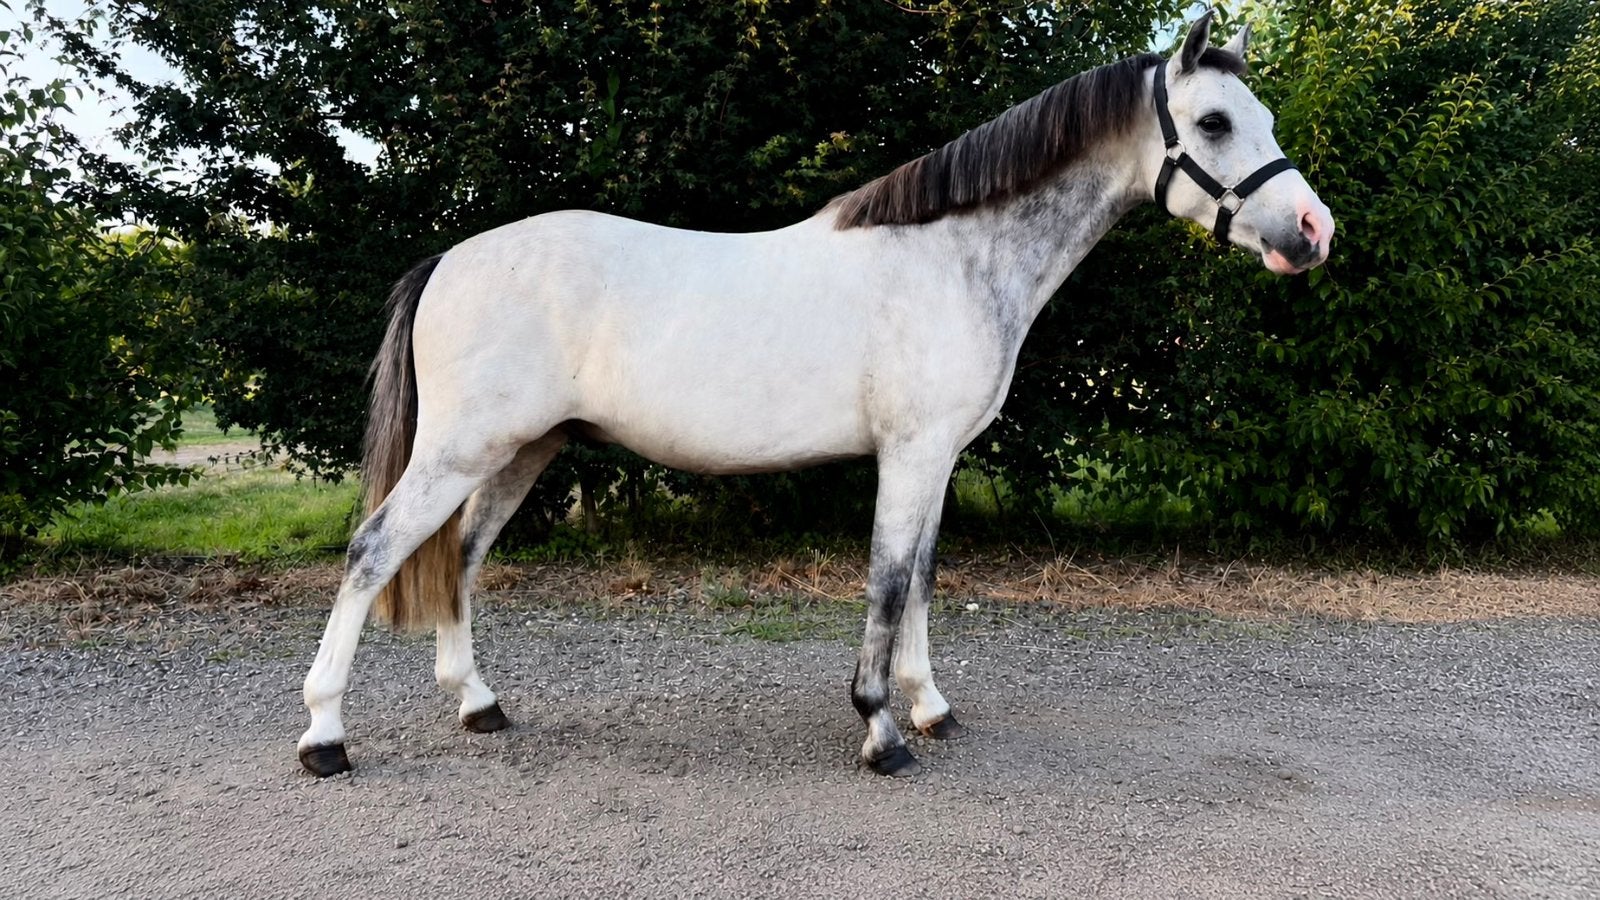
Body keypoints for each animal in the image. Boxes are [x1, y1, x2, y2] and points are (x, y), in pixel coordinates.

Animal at [298, 13, 1334, 778]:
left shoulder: (937, 459)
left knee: (461, 556)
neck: (950, 258)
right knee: (373, 551)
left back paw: (478, 704)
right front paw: (880, 733)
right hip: (461, 450)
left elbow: (922, 579)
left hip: (523, 450)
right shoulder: (908, 455)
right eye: (1214, 123)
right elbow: (887, 581)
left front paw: (930, 709)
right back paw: (324, 737)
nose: (1315, 231)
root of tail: (447, 261)